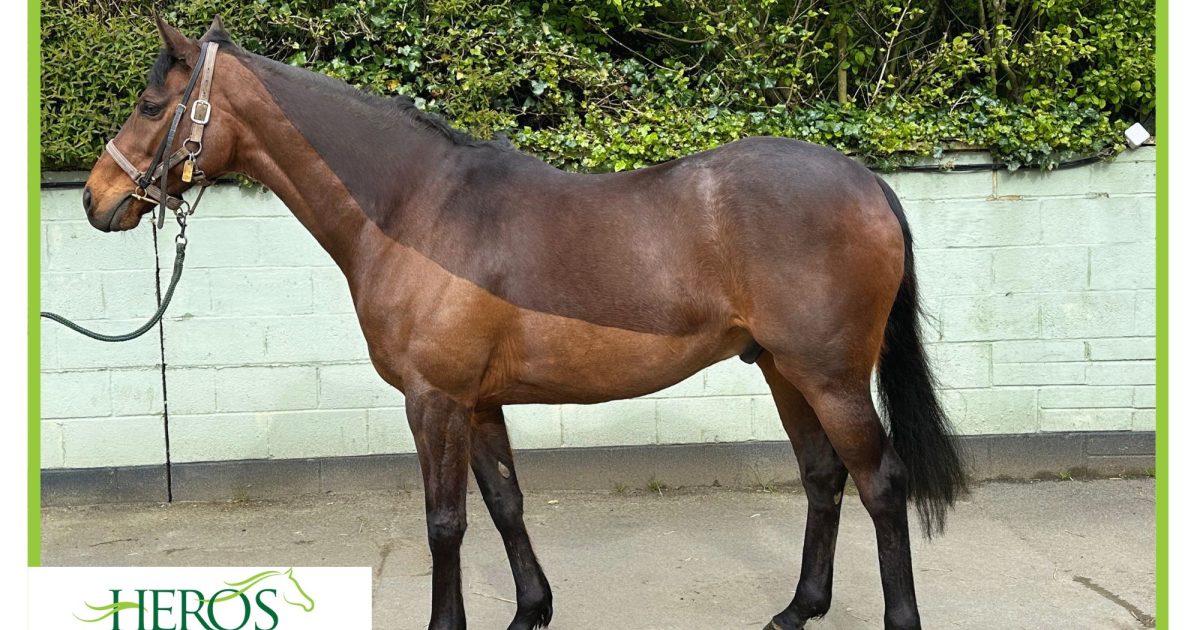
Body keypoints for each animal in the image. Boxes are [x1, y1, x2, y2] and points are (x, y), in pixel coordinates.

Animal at [80, 17, 968, 630]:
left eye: (151, 105)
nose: (97, 198)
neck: (414, 208)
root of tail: (866, 180)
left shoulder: (434, 401)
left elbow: (445, 523)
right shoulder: (476, 402)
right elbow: (505, 503)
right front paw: (530, 610)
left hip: (831, 376)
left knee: (881, 482)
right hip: (785, 370)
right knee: (823, 477)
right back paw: (796, 609)